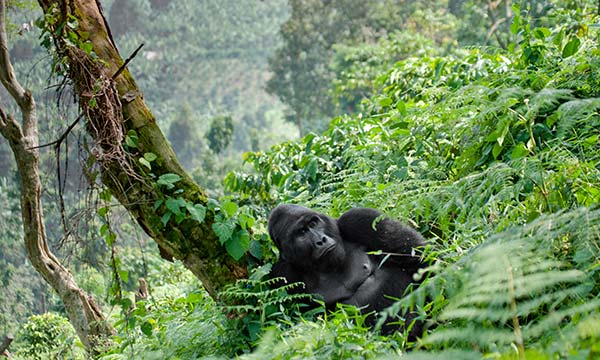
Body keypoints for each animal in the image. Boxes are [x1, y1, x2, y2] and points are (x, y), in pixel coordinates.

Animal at [268, 205, 426, 338]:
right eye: (301, 233)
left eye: (313, 224)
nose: (321, 240)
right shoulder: (283, 273)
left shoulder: (359, 220)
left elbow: (420, 257)